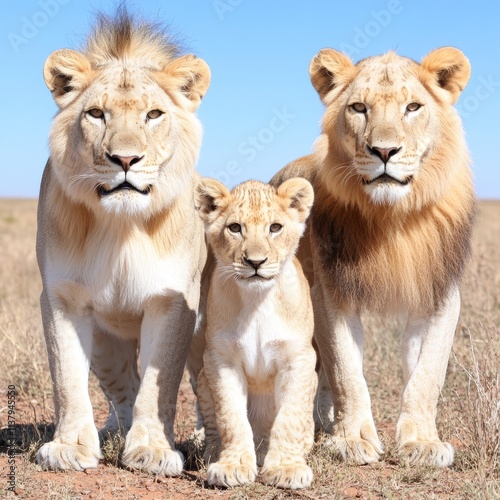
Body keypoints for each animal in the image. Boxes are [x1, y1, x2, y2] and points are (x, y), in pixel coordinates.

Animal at [35, 8, 211, 476]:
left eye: (154, 115)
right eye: (96, 114)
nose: (126, 159)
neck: (121, 225)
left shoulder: (173, 300)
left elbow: (160, 382)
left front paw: (152, 449)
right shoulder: (62, 297)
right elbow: (67, 377)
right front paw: (70, 447)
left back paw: (201, 438)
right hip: (106, 343)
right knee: (122, 385)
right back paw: (116, 428)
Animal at [272, 45, 474, 466]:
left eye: (413, 107)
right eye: (359, 108)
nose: (384, 151)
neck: (391, 217)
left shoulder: (440, 292)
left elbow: (427, 375)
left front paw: (422, 442)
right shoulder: (331, 293)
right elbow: (347, 371)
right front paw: (352, 440)